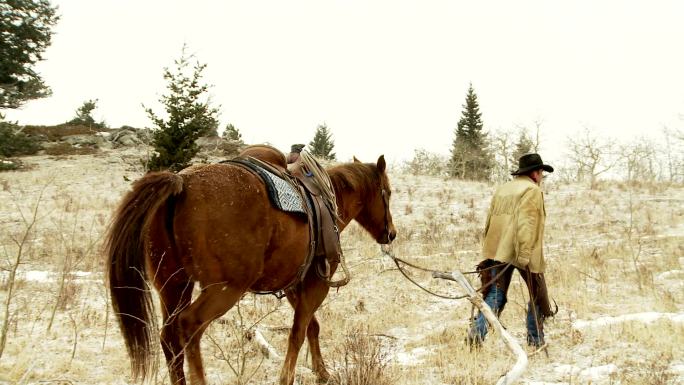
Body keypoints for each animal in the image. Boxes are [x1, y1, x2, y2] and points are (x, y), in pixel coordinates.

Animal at [105, 153, 398, 384]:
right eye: (388, 191)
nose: (391, 234)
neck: (328, 198)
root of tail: (181, 184)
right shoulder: (317, 283)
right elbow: (298, 332)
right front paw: (289, 377)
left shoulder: (294, 285)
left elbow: (311, 327)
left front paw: (322, 373)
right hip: (225, 289)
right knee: (189, 326)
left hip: (174, 285)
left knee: (169, 338)